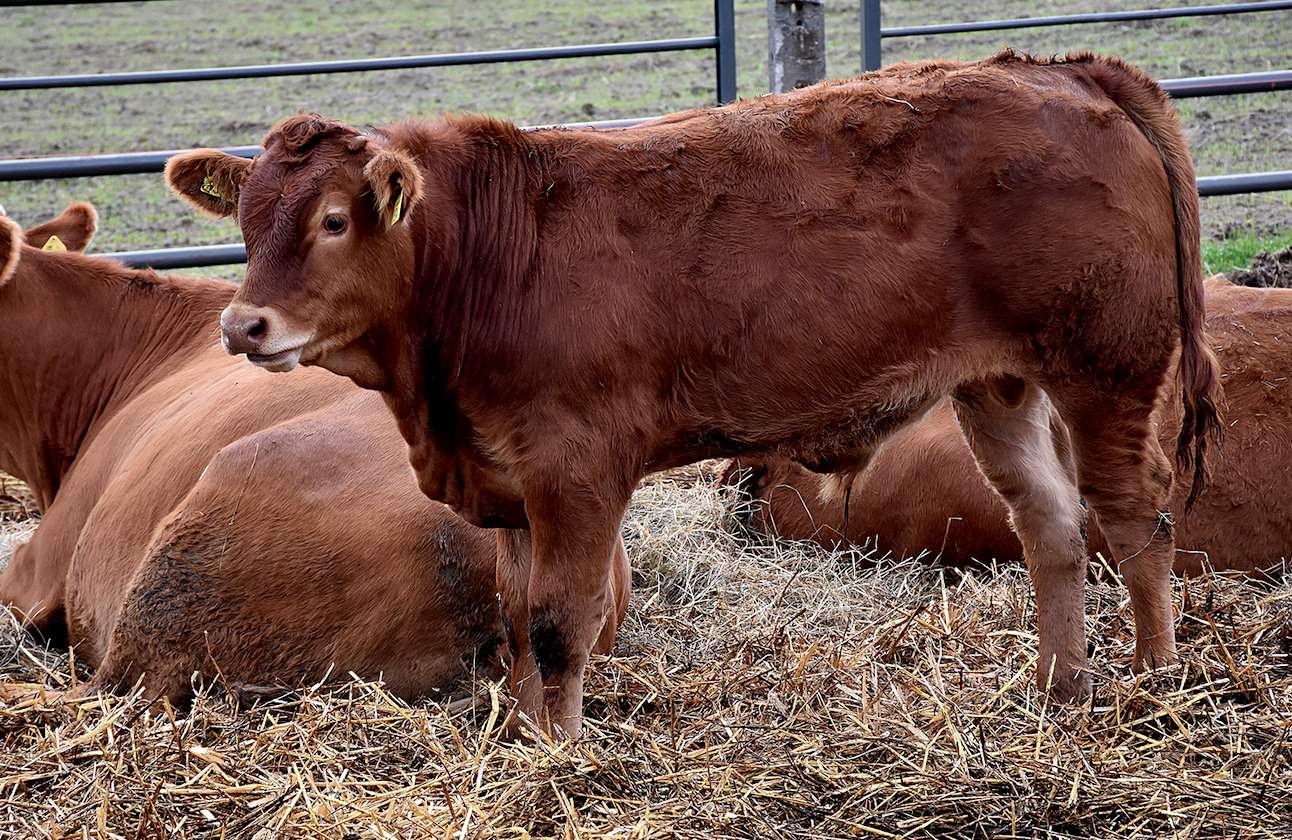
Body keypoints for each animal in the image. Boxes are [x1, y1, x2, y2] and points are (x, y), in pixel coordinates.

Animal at [169, 52, 1219, 734]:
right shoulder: (507, 479)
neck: (488, 259)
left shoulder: (577, 472)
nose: (243, 326)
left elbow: (560, 624)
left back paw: (1150, 682)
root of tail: (1060, 68)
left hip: (1108, 369)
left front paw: (562, 755)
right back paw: (1060, 687)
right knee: (1052, 526)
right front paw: (522, 740)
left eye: (333, 219)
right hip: (999, 386)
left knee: (1136, 520)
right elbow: (516, 620)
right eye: (248, 220)